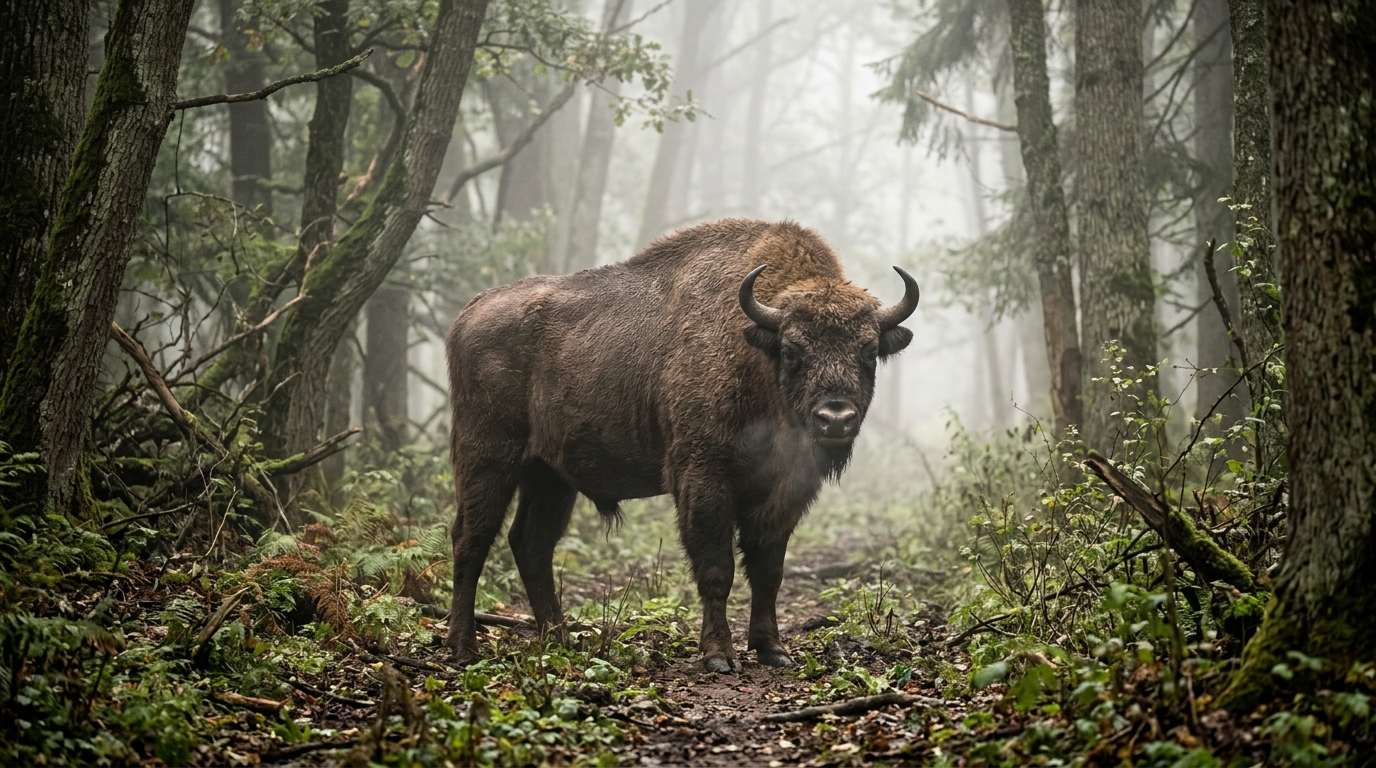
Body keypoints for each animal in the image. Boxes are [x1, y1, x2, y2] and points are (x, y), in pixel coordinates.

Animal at [444, 218, 918, 671]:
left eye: (868, 350)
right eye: (791, 350)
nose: (835, 418)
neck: (753, 353)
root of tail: (468, 313)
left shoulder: (784, 492)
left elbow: (768, 572)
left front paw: (772, 650)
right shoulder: (703, 478)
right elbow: (717, 569)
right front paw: (718, 655)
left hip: (550, 477)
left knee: (531, 545)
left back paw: (559, 639)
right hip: (487, 458)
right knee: (471, 539)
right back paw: (464, 647)